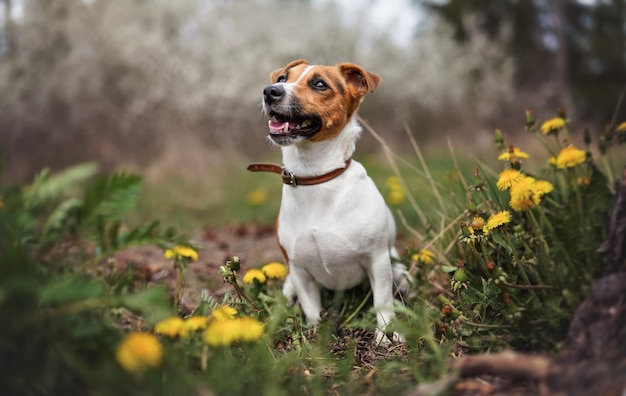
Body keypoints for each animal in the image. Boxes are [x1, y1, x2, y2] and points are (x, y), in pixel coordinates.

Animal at [249, 58, 410, 344]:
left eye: (319, 84)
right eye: (282, 78)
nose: (270, 91)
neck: (315, 177)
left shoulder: (377, 260)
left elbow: (382, 303)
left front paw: (385, 336)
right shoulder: (299, 271)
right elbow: (311, 308)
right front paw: (313, 334)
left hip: (398, 269)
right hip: (290, 280)